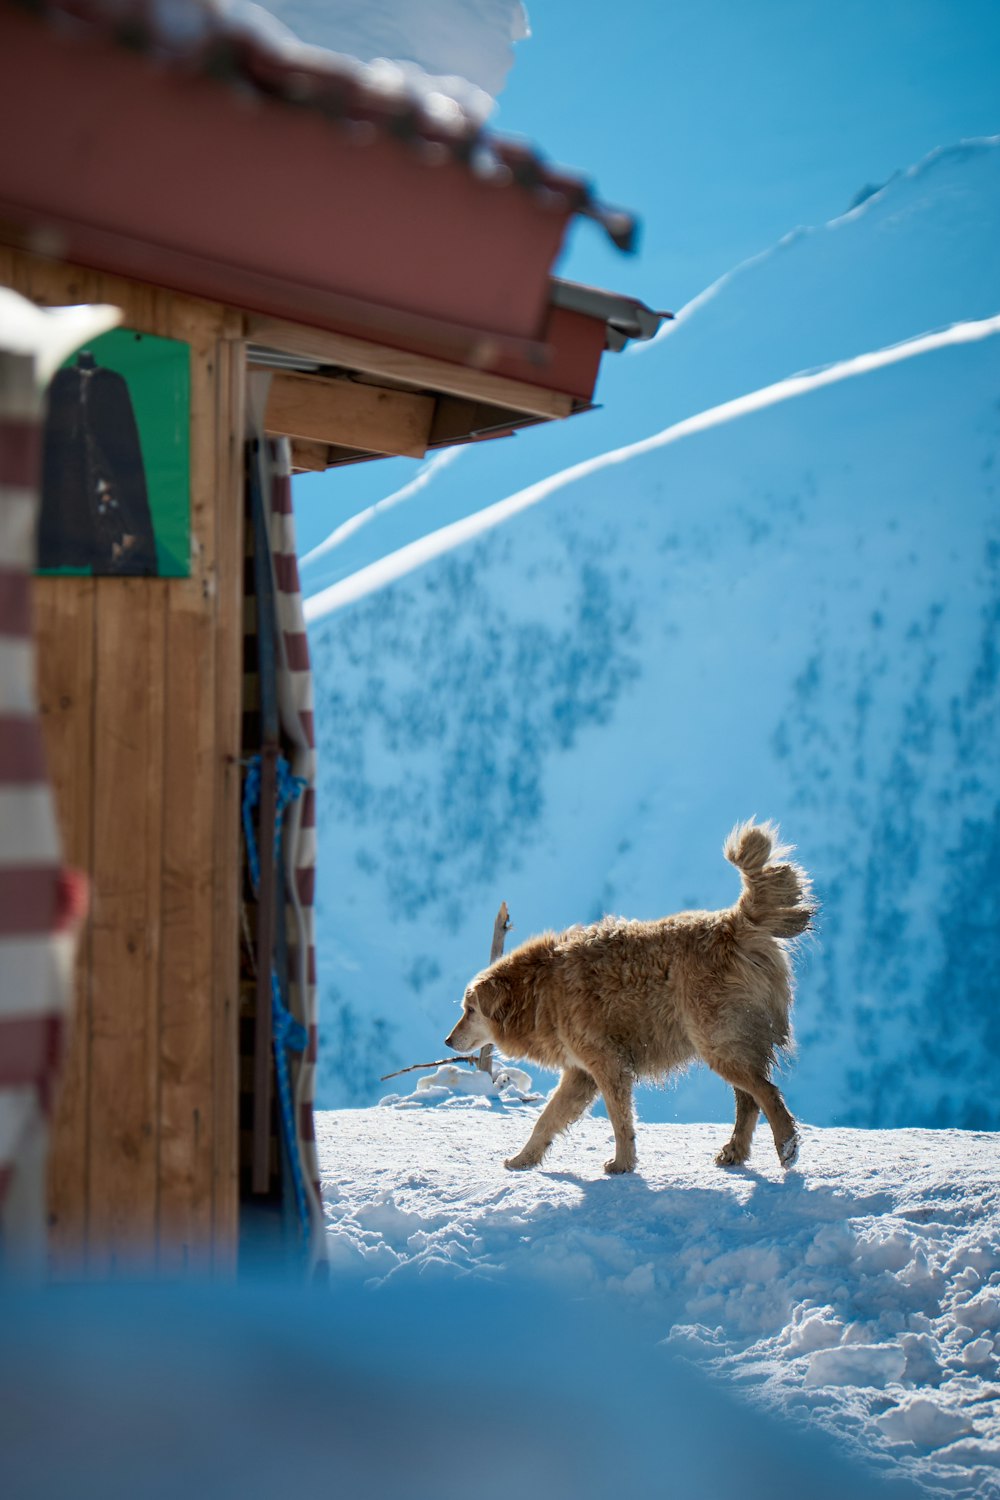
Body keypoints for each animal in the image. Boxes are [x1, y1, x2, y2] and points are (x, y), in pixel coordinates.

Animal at [443, 828, 815, 1176]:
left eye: (469, 1010)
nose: (447, 1040)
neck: (540, 991)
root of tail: (733, 922)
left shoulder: (608, 1064)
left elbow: (620, 1122)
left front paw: (622, 1164)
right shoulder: (581, 1073)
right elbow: (546, 1120)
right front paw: (523, 1160)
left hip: (718, 1043)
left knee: (767, 1093)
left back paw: (786, 1146)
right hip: (729, 1043)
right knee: (749, 1100)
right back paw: (735, 1152)